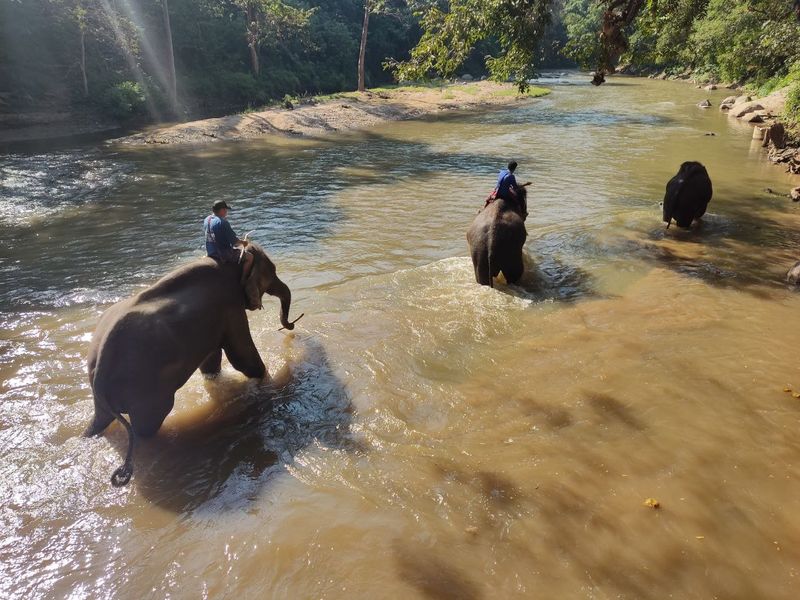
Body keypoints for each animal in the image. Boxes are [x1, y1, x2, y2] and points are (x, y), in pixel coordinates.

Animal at [85, 240, 296, 488]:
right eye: (272, 272)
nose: (290, 326)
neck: (233, 258)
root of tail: (99, 371)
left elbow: (211, 363)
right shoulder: (230, 305)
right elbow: (242, 358)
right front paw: (266, 381)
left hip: (106, 391)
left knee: (103, 420)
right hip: (146, 392)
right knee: (147, 426)